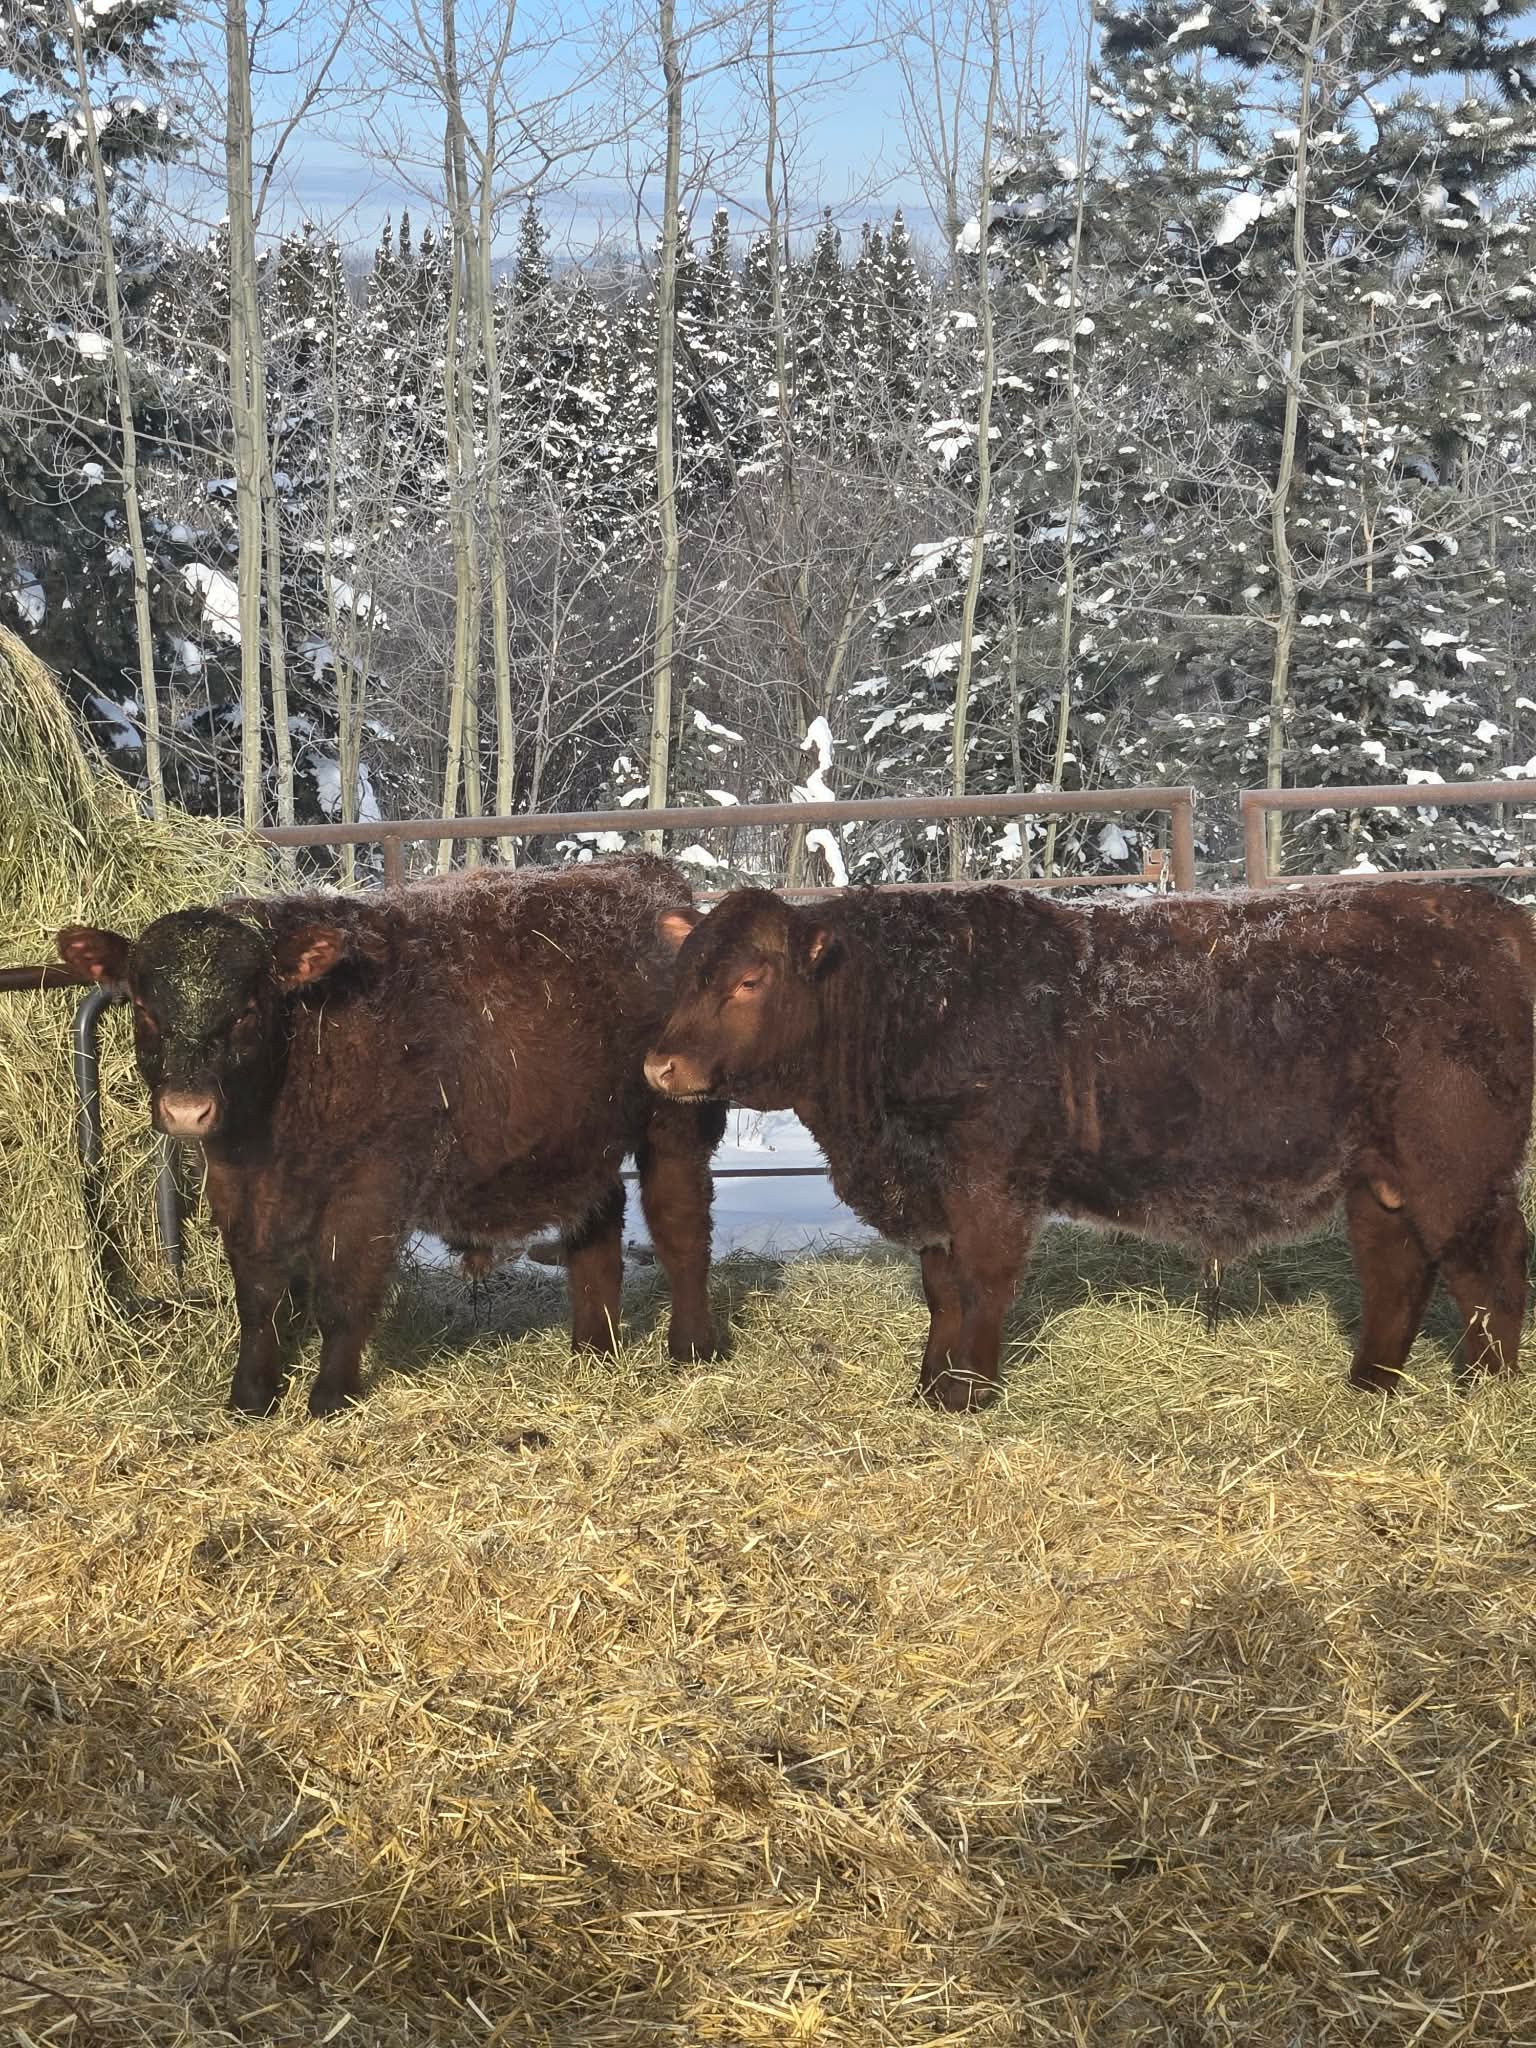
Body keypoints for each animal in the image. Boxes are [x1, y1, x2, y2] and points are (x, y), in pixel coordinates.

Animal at [57, 855, 726, 1416]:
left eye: (247, 1011)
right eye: (144, 1009)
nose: (187, 1109)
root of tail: (644, 873)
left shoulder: (371, 1182)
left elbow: (342, 1291)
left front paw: (330, 1396)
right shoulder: (237, 1186)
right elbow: (257, 1293)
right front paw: (249, 1395)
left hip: (675, 1123)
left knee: (681, 1228)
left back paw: (691, 1347)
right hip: (581, 1141)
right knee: (597, 1230)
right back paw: (594, 1347)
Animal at [644, 880, 1535, 1411]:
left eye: (750, 980)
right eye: (684, 975)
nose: (660, 1064)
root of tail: (1491, 912)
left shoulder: (991, 1179)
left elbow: (982, 1284)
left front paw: (969, 1392)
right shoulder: (932, 1191)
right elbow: (941, 1290)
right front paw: (931, 1387)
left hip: (1458, 1166)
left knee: (1490, 1268)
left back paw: (1483, 1399)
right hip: (1382, 1175)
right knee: (1397, 1272)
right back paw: (1369, 1388)